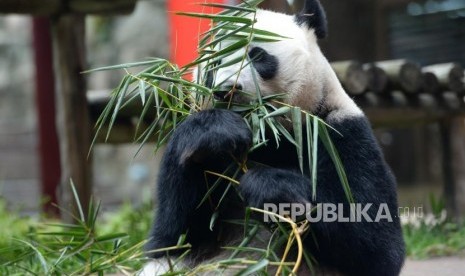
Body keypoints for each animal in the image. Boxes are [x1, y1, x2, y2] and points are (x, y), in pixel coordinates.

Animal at [140, 1, 402, 274]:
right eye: (215, 63)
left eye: (257, 55)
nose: (226, 90)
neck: (269, 134)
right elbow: (171, 240)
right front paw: (215, 131)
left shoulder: (341, 132)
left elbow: (374, 242)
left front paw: (270, 187)